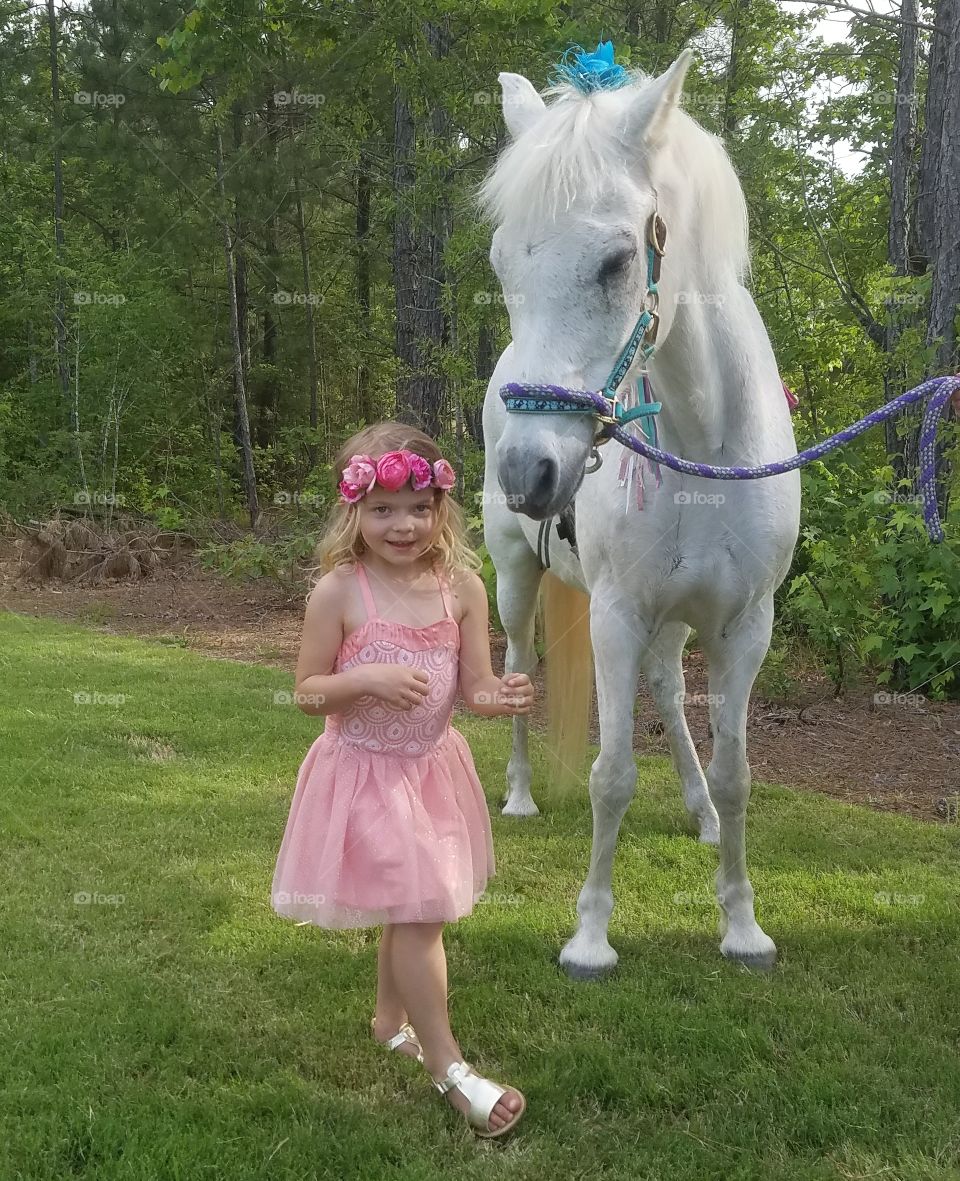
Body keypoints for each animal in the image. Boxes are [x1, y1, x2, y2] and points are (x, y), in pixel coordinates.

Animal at [477, 48, 801, 978]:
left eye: (618, 260)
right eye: (503, 264)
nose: (530, 471)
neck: (705, 444)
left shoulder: (744, 626)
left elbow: (737, 773)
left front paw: (741, 924)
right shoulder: (616, 617)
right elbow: (612, 774)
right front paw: (590, 936)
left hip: (678, 621)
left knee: (666, 686)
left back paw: (698, 811)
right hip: (515, 577)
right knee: (518, 666)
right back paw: (519, 794)